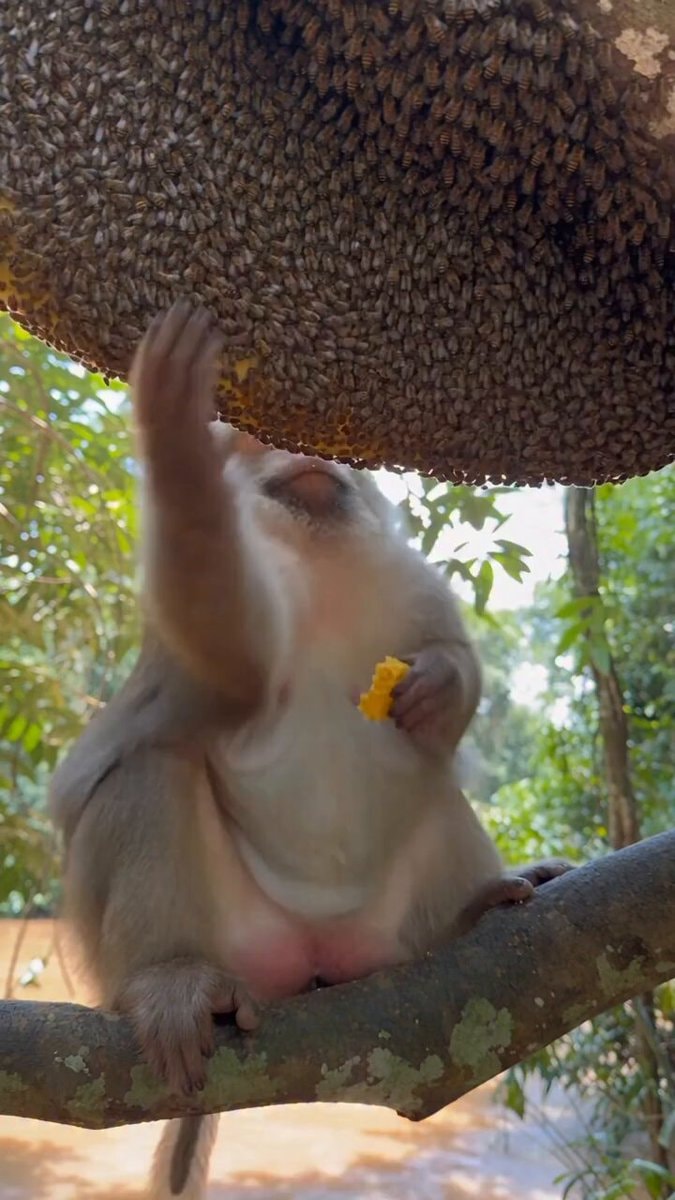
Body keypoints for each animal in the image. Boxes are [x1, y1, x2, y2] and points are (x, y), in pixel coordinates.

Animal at [49, 301, 571, 1200]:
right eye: (261, 435)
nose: (316, 454)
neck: (322, 563)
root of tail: (309, 958)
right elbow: (230, 666)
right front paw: (173, 437)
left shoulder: (406, 577)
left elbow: (450, 669)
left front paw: (439, 685)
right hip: (223, 937)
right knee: (150, 769)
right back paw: (169, 980)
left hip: (379, 932)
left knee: (429, 779)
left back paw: (470, 912)